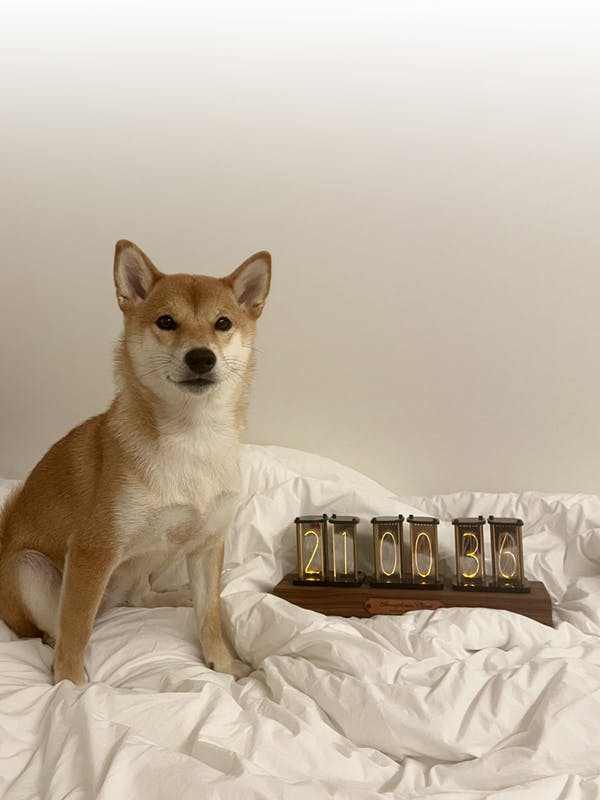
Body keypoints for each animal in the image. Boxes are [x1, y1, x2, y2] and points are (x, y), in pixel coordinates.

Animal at [0, 240, 271, 684]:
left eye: (223, 323)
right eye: (166, 321)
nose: (201, 357)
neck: (192, 440)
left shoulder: (207, 544)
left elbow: (210, 615)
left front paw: (223, 662)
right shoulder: (93, 550)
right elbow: (77, 627)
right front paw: (71, 686)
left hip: (150, 559)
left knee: (138, 596)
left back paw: (176, 596)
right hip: (30, 568)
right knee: (56, 630)